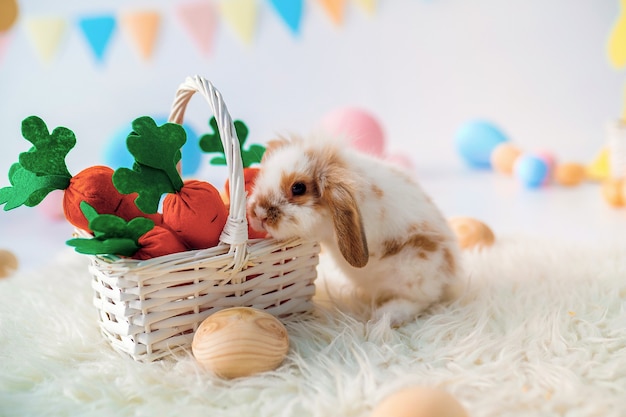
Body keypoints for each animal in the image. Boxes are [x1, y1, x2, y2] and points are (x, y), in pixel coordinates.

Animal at [247, 136, 458, 324]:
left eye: (298, 188)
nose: (258, 214)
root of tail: (452, 274)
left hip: (415, 266)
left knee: (424, 299)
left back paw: (387, 316)